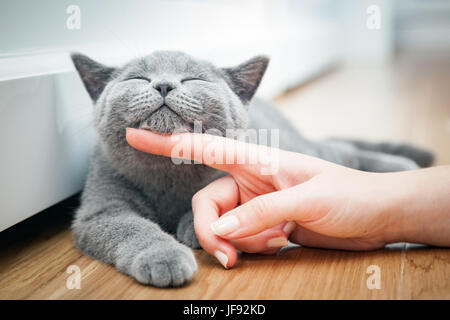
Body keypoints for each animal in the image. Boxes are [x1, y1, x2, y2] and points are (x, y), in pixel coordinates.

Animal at [72, 50, 434, 288]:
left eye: (193, 78)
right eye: (138, 78)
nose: (163, 85)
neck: (168, 172)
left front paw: (194, 227)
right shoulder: (101, 210)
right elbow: (131, 228)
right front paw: (165, 256)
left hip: (298, 148)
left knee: (339, 152)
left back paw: (402, 166)